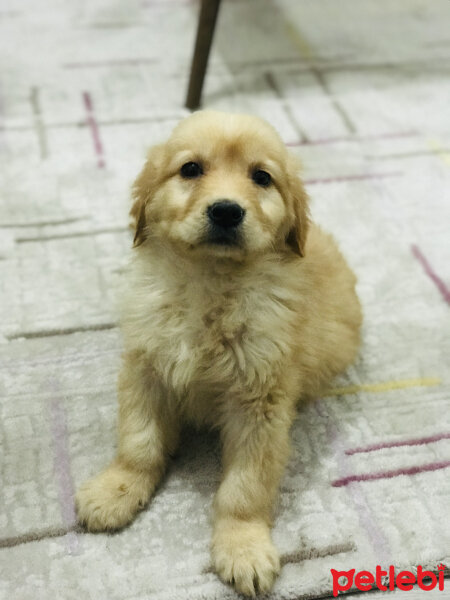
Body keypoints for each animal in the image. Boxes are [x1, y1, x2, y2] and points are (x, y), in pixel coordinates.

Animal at [74, 111, 362, 596]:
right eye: (190, 169)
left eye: (261, 177)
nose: (226, 210)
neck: (211, 283)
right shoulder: (145, 370)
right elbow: (138, 442)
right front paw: (116, 489)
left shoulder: (260, 403)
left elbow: (245, 486)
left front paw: (242, 544)